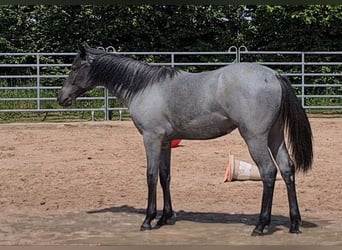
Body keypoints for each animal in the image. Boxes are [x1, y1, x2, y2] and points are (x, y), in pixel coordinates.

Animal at [58, 42, 312, 235]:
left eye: (74, 68)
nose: (62, 98)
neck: (144, 87)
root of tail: (274, 75)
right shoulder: (165, 142)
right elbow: (165, 176)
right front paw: (165, 217)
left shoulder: (151, 138)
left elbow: (150, 176)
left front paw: (148, 220)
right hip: (275, 136)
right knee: (287, 169)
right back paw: (294, 223)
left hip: (255, 138)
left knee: (268, 172)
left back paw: (260, 225)